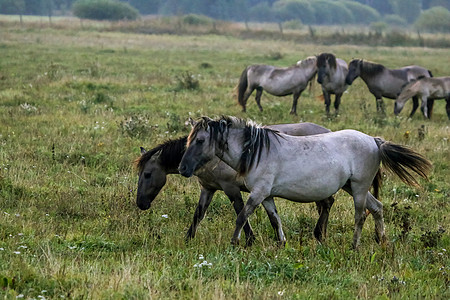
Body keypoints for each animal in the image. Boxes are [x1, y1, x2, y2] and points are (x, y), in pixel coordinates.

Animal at [134, 122, 338, 246]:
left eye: (147, 174)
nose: (141, 204)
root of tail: (329, 132)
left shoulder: (231, 188)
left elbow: (240, 212)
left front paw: (249, 240)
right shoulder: (208, 189)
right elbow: (198, 214)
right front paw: (188, 238)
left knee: (327, 204)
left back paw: (319, 234)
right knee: (325, 205)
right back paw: (321, 234)